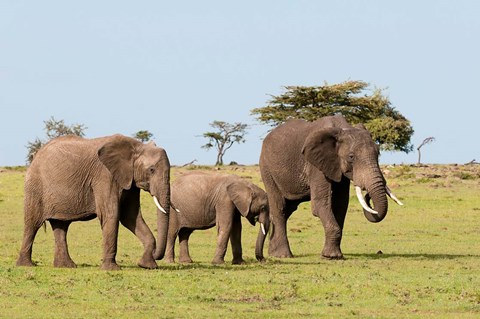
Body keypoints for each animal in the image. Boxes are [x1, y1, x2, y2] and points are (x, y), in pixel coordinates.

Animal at [15, 134, 172, 272]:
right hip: (35, 186)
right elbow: (111, 214)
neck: (137, 146)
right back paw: (26, 265)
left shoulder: (130, 182)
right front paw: (111, 269)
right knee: (32, 224)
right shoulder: (105, 176)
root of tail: (36, 155)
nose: (156, 255)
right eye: (151, 170)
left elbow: (130, 217)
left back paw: (66, 266)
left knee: (61, 226)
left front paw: (147, 266)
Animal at [260, 115, 404, 260]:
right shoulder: (316, 166)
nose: (367, 195)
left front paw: (334, 255)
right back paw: (283, 255)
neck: (343, 128)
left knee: (289, 209)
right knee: (280, 208)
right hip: (267, 170)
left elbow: (340, 204)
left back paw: (273, 253)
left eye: (378, 154)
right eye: (351, 157)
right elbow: (321, 204)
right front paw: (331, 256)